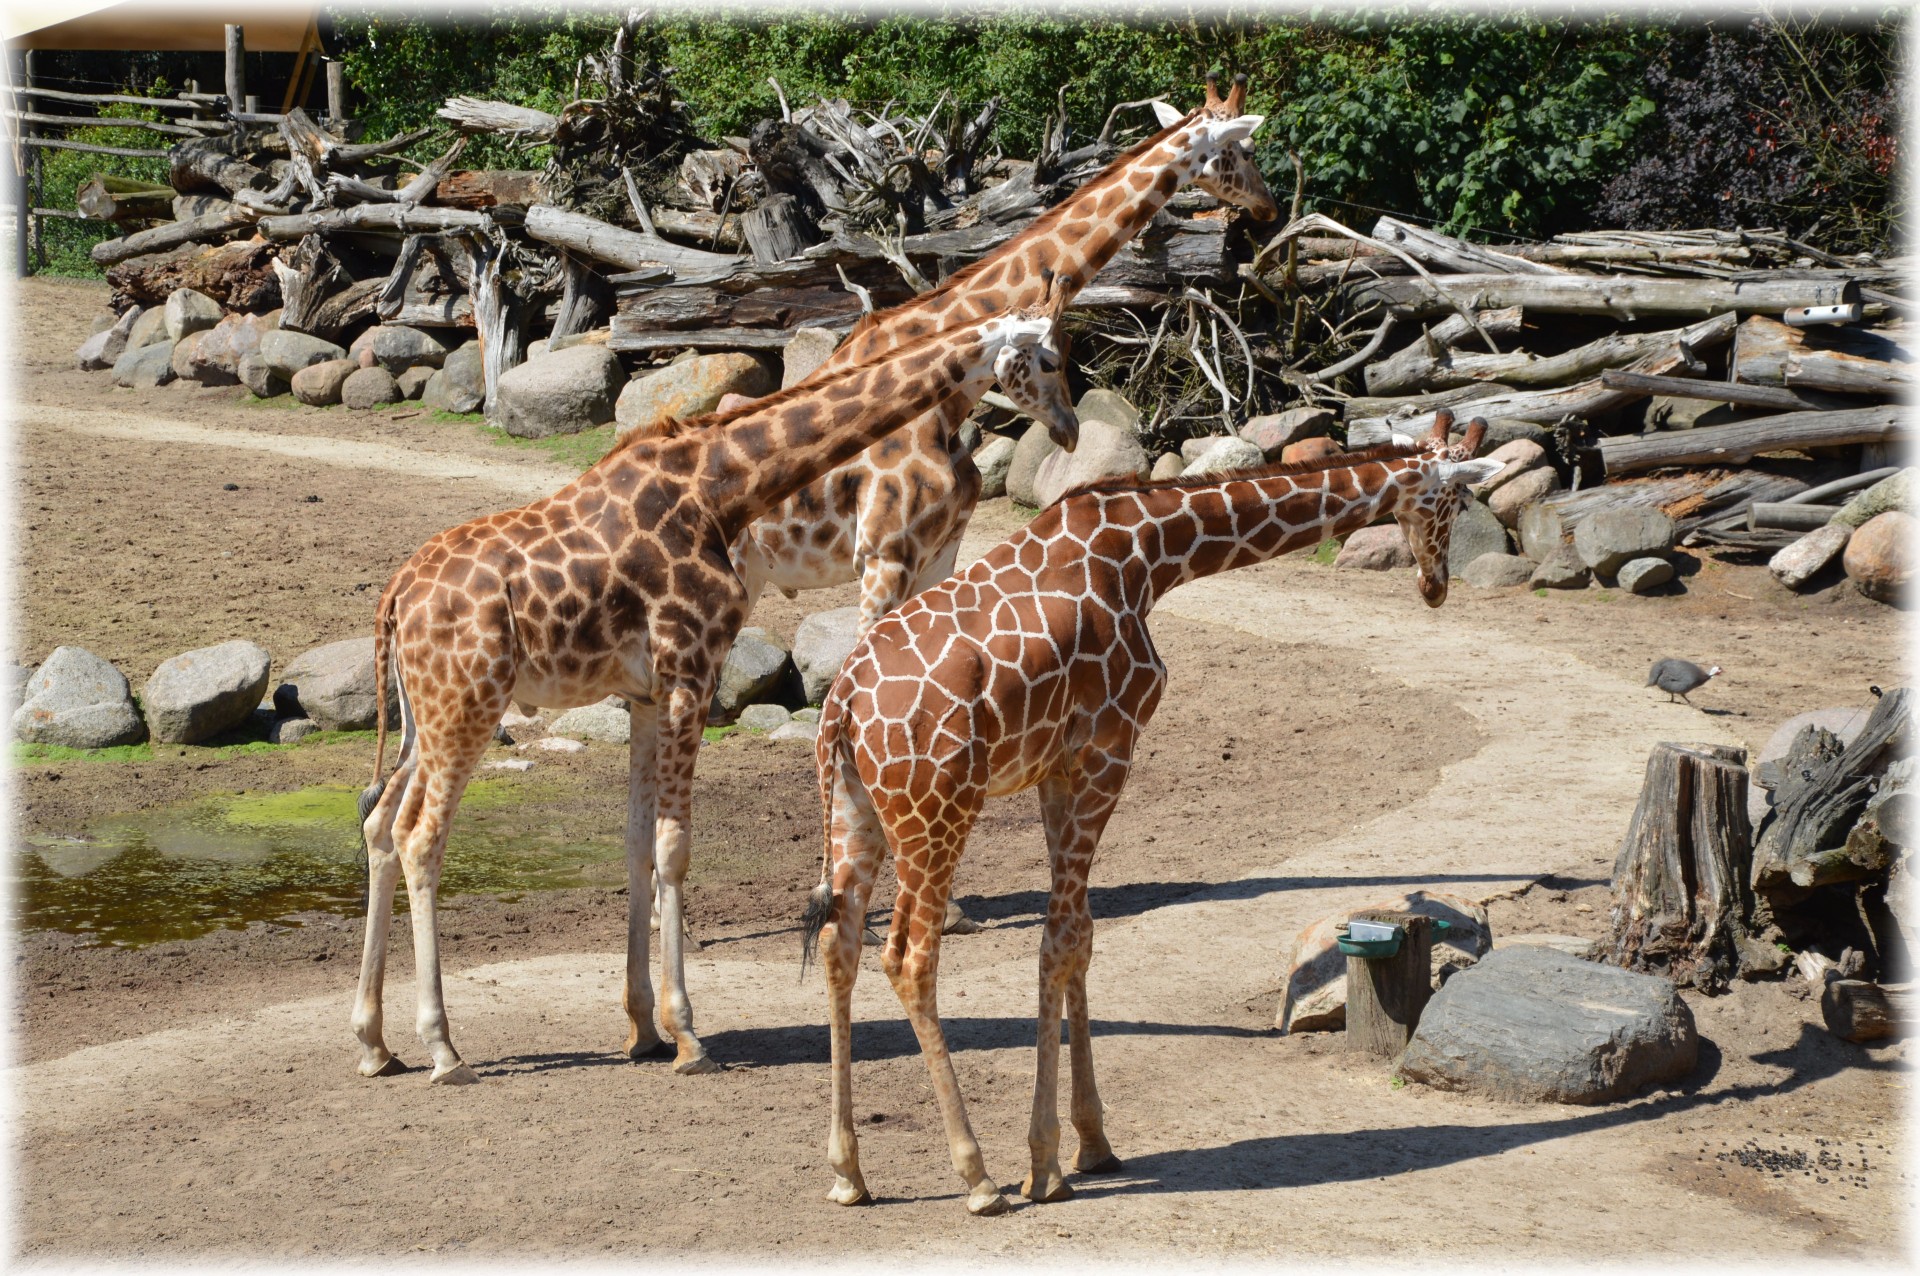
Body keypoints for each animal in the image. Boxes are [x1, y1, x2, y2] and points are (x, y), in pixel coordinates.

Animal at [355, 291, 1082, 1082]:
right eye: (1048, 358)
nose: (1071, 429)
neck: (721, 487)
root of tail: (395, 595)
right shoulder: (691, 670)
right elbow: (674, 847)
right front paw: (688, 1035)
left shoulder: (647, 695)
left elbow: (637, 843)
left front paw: (643, 1028)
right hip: (467, 706)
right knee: (421, 838)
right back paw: (442, 1047)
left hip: (426, 716)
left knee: (380, 824)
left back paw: (374, 1042)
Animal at [794, 412, 1497, 1212]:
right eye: (1453, 503)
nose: (1436, 586)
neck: (1153, 555)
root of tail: (842, 705)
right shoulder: (1109, 749)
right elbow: (1062, 939)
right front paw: (1045, 1164)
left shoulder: (1058, 767)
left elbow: (1082, 938)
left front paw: (1094, 1142)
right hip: (937, 809)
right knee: (909, 956)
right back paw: (976, 1176)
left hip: (856, 809)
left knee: (840, 941)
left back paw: (848, 1173)